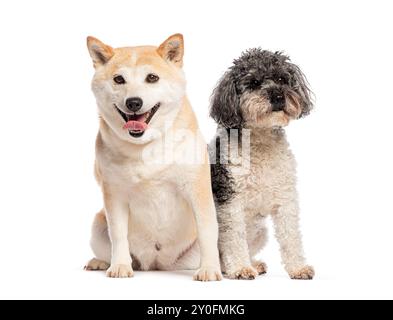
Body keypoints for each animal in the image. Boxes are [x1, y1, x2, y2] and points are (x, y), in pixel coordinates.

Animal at [84, 33, 222, 282]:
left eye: (152, 78)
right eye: (119, 79)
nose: (134, 102)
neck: (146, 146)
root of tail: (157, 263)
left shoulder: (197, 190)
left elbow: (207, 231)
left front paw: (209, 269)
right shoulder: (114, 195)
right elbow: (118, 234)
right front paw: (120, 266)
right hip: (98, 226)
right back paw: (100, 262)